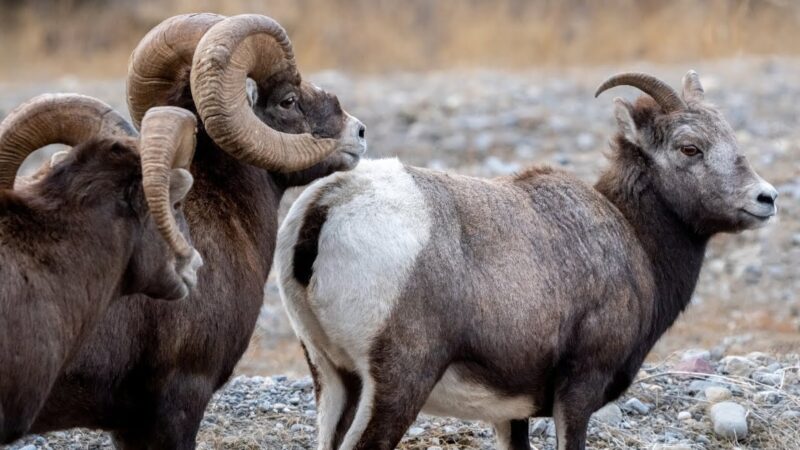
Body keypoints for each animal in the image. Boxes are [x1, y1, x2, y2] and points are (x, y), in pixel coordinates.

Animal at [278, 71, 780, 450]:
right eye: (689, 148)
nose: (767, 199)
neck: (631, 235)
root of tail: (330, 203)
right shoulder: (579, 389)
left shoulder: (509, 414)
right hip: (397, 386)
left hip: (335, 380)